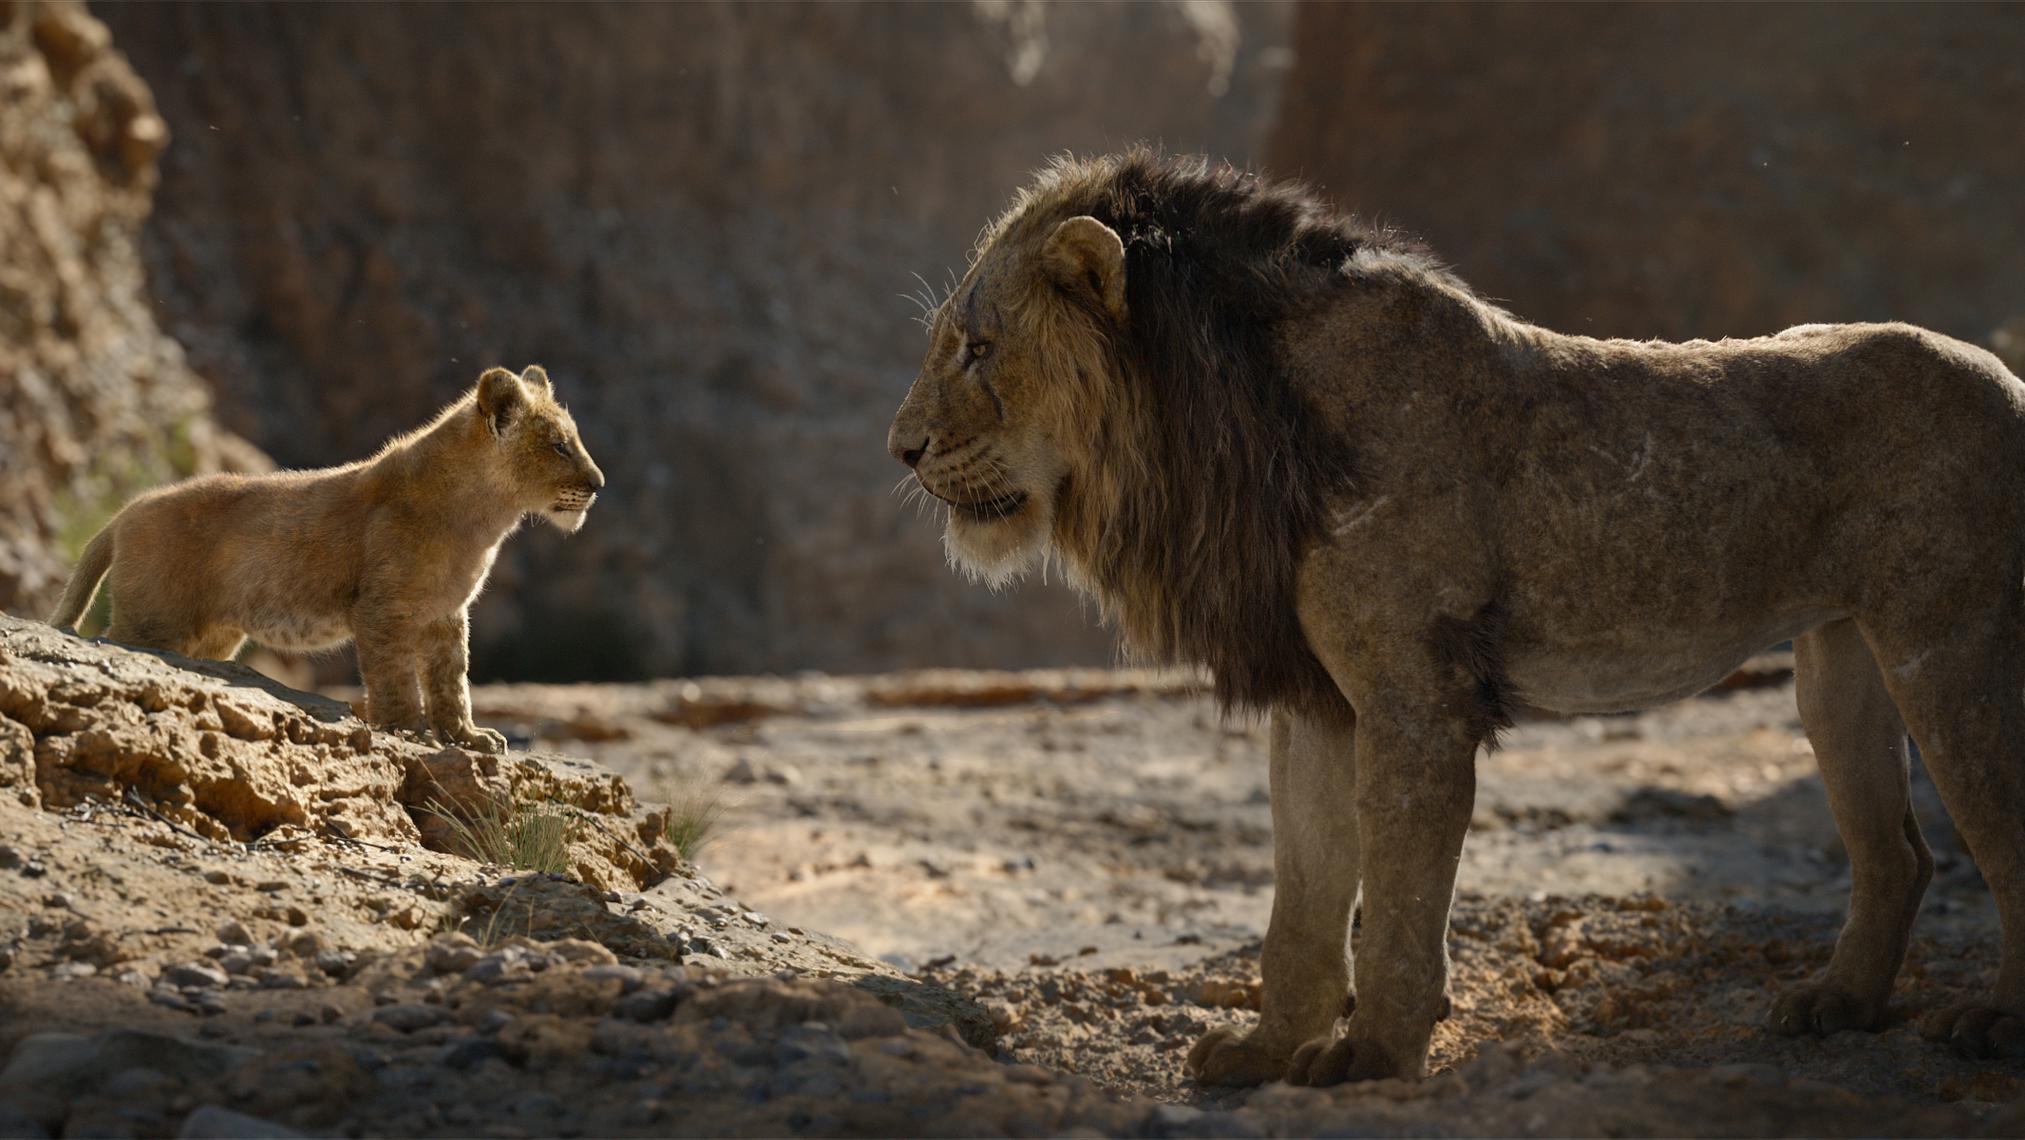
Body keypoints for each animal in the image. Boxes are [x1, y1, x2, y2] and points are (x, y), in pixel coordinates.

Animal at [48, 364, 604, 754]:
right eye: (559, 445)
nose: (599, 485)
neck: (483, 517)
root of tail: (125, 512)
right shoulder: (383, 608)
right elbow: (395, 678)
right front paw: (408, 731)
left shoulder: (447, 613)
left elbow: (452, 680)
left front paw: (468, 737)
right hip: (152, 622)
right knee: (118, 641)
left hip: (211, 636)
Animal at [889, 149, 2025, 1085]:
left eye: (978, 349)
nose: (899, 448)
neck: (1219, 423)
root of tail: (2008, 378)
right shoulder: (1318, 698)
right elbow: (1302, 895)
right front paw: (1264, 1049)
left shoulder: (1413, 697)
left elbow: (1395, 892)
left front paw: (1372, 1055)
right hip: (1840, 663)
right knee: (1900, 854)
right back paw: (1838, 1005)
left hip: (1950, 648)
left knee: (1995, 832)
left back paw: (1989, 1023)